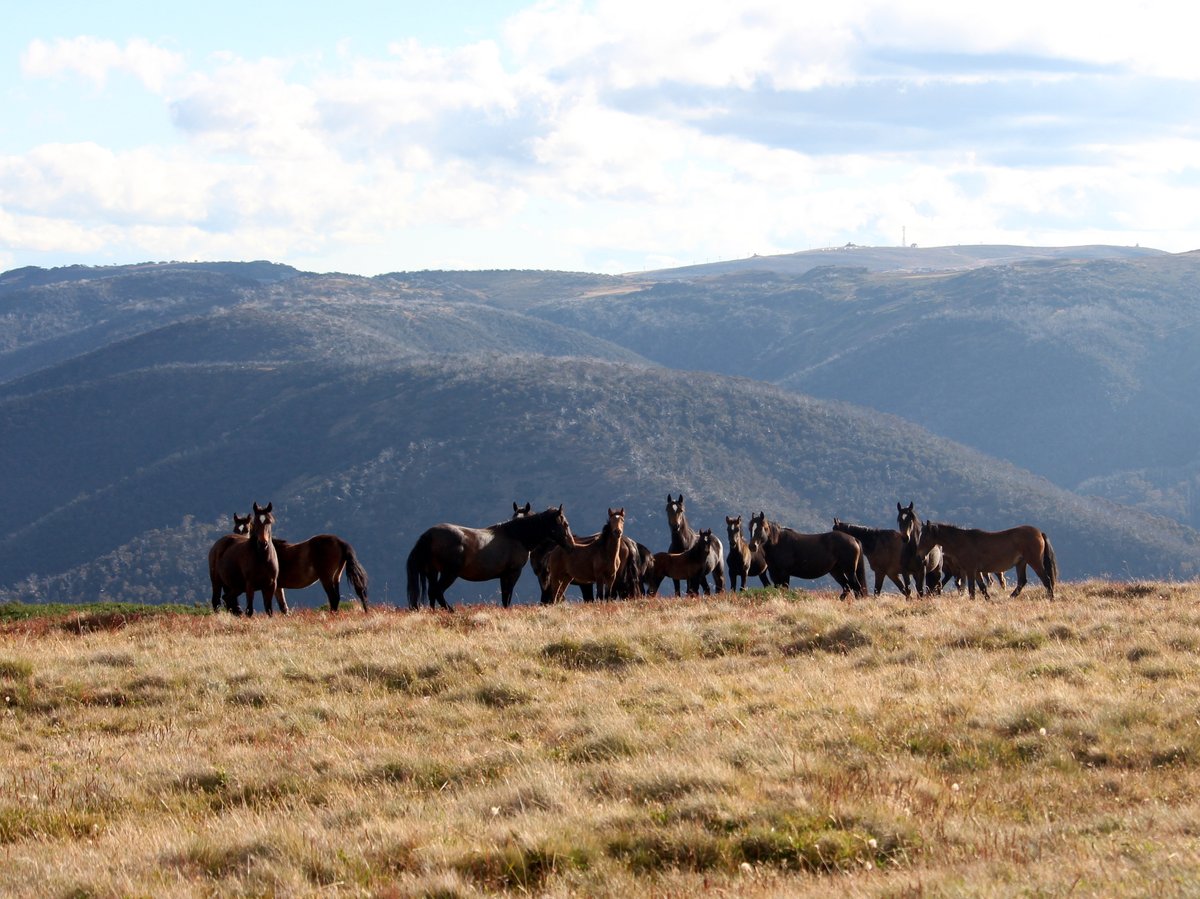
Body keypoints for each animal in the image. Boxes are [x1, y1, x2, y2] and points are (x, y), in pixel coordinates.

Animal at [405, 505, 574, 610]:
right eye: (565, 524)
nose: (571, 545)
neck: (517, 536)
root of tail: (428, 535)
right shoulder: (512, 573)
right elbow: (507, 596)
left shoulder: (504, 575)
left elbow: (505, 597)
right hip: (449, 574)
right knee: (437, 592)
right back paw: (451, 611)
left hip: (432, 572)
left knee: (432, 593)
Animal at [916, 521, 1058, 599]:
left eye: (925, 537)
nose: (919, 555)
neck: (962, 542)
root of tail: (1039, 533)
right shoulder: (977, 571)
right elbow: (982, 587)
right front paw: (988, 599)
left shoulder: (970, 570)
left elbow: (972, 589)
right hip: (1021, 563)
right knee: (1022, 581)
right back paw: (1010, 597)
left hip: (1034, 562)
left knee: (1046, 580)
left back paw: (1051, 598)